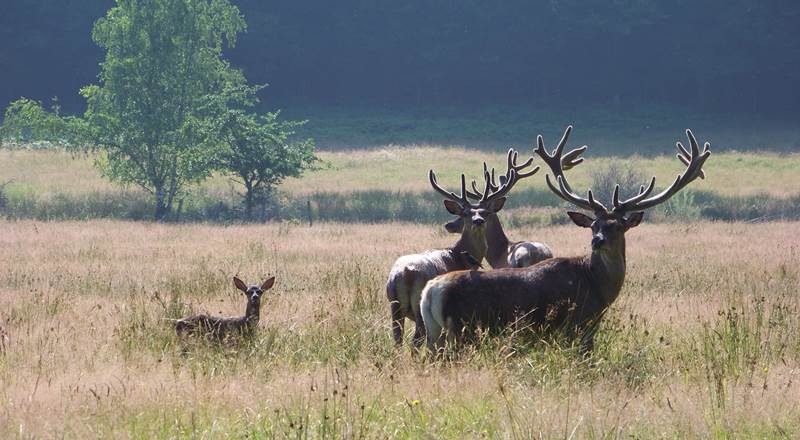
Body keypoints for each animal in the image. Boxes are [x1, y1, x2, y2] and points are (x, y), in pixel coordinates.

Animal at [386, 152, 534, 347]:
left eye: (485, 212)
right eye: (465, 214)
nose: (478, 221)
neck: (457, 255)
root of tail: (404, 274)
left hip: (394, 305)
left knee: (397, 339)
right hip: (419, 305)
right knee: (417, 340)